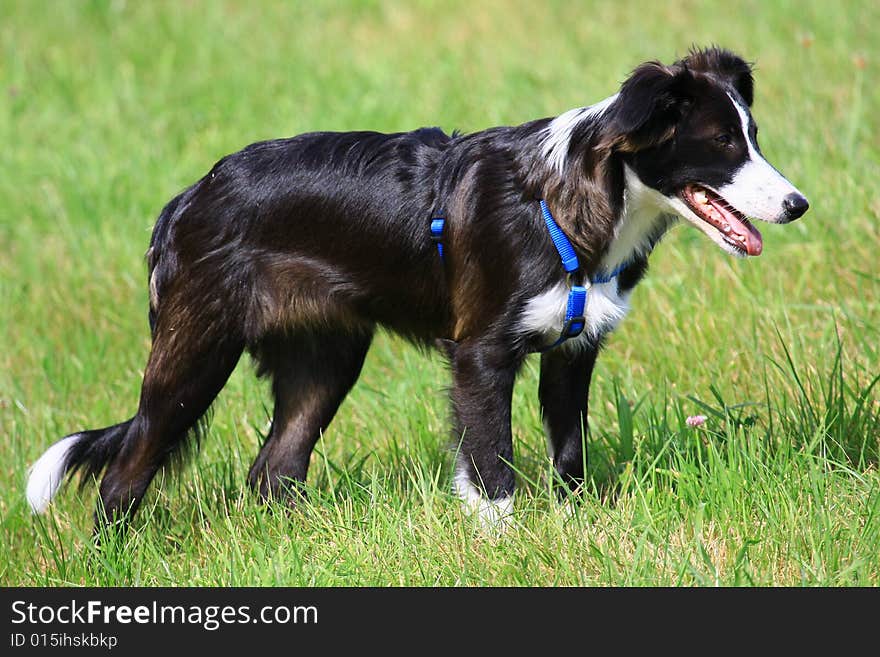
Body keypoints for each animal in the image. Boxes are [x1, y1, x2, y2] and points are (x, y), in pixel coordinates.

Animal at [25, 46, 812, 528]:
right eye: (721, 144)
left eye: (755, 137)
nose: (798, 204)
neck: (573, 199)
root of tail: (187, 198)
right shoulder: (481, 354)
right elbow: (492, 472)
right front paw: (505, 547)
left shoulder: (571, 350)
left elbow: (569, 459)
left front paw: (571, 529)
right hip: (195, 350)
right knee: (124, 474)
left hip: (326, 357)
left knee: (274, 468)